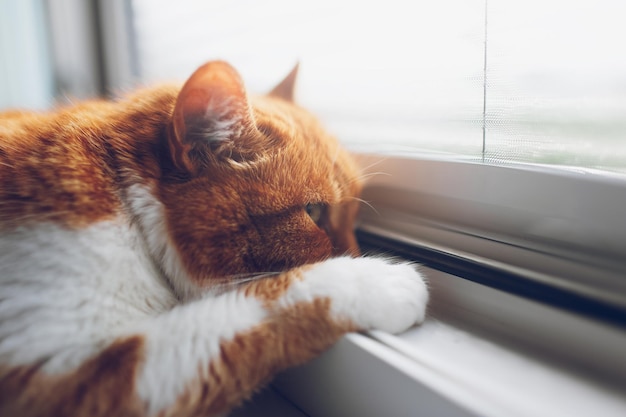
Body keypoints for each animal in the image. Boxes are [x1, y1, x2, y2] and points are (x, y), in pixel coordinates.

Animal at [0, 61, 428, 416]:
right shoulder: (74, 377)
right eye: (314, 212)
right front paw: (379, 280)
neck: (127, 208)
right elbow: (259, 305)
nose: (355, 254)